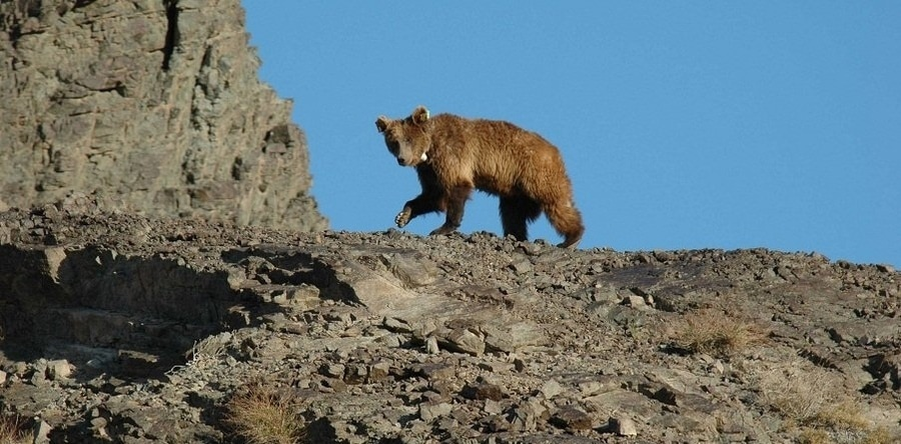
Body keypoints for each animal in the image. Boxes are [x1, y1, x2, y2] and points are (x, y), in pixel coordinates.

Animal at [372, 106, 584, 248]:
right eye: (394, 142)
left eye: (408, 139)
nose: (402, 159)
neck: (430, 148)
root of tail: (554, 150)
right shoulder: (429, 170)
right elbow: (433, 195)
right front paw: (403, 216)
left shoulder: (452, 155)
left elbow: (455, 188)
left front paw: (443, 228)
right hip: (515, 189)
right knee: (511, 213)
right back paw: (516, 236)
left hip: (535, 171)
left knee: (555, 202)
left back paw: (571, 238)